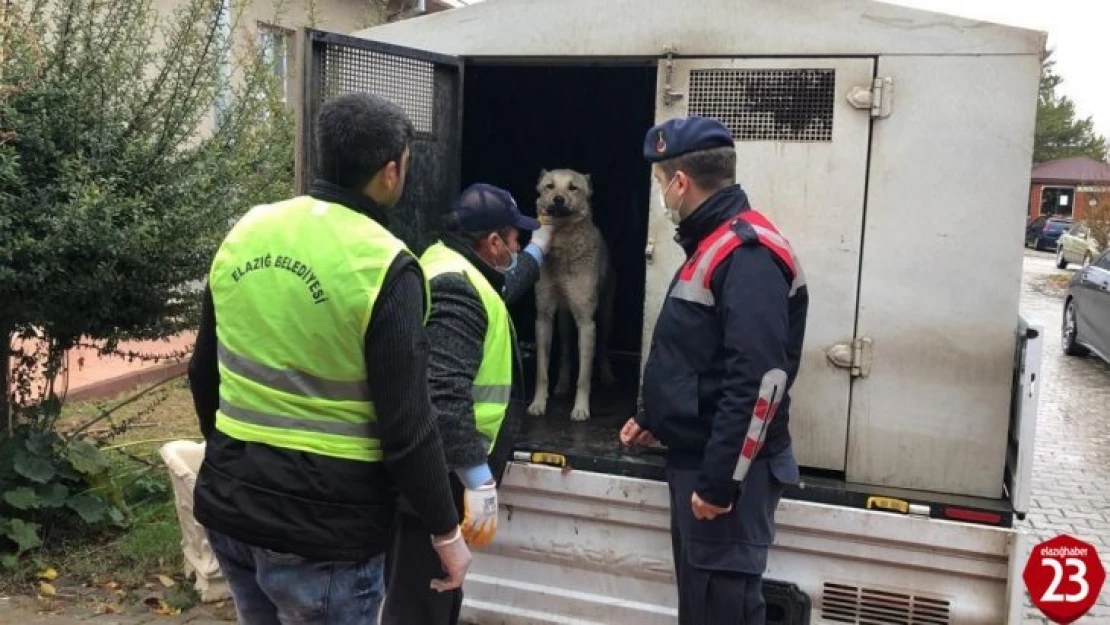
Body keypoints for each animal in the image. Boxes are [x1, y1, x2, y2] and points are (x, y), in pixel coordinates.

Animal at [526, 167, 617, 419]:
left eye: (573, 188)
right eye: (549, 186)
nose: (558, 199)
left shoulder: (586, 322)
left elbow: (584, 376)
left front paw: (581, 408)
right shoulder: (543, 318)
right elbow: (541, 371)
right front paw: (538, 403)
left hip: (605, 315)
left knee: (602, 348)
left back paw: (607, 375)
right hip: (564, 321)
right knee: (566, 353)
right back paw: (562, 384)